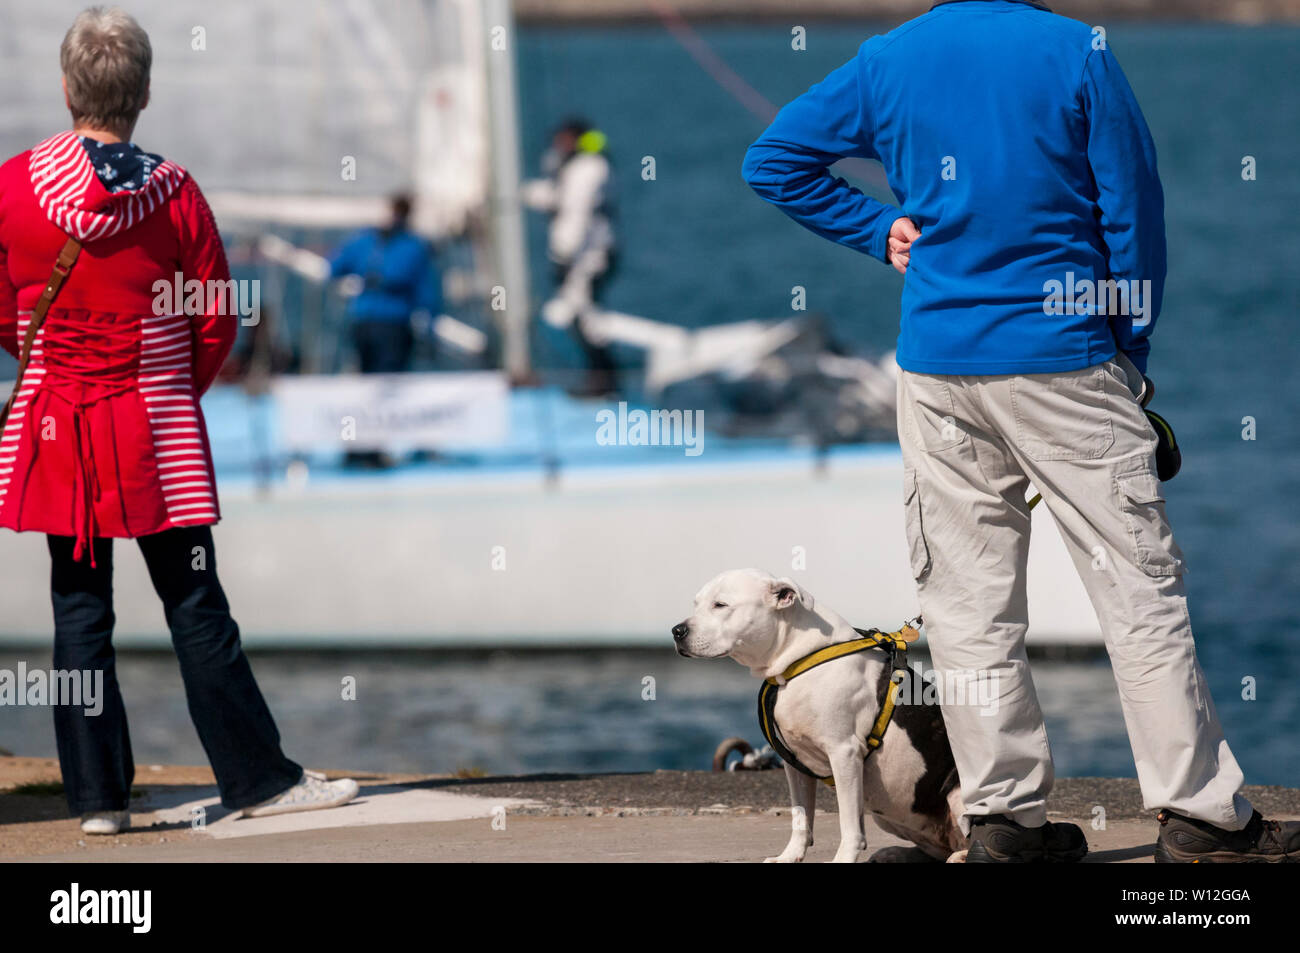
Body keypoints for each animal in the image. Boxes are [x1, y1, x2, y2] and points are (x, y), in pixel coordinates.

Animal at [670, 569, 967, 868]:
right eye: (696, 604)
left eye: (720, 605)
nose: (677, 631)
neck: (798, 659)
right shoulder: (794, 763)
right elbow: (801, 817)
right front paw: (789, 856)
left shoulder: (844, 753)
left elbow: (849, 823)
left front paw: (843, 858)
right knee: (937, 849)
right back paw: (895, 853)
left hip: (957, 792)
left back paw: (961, 855)